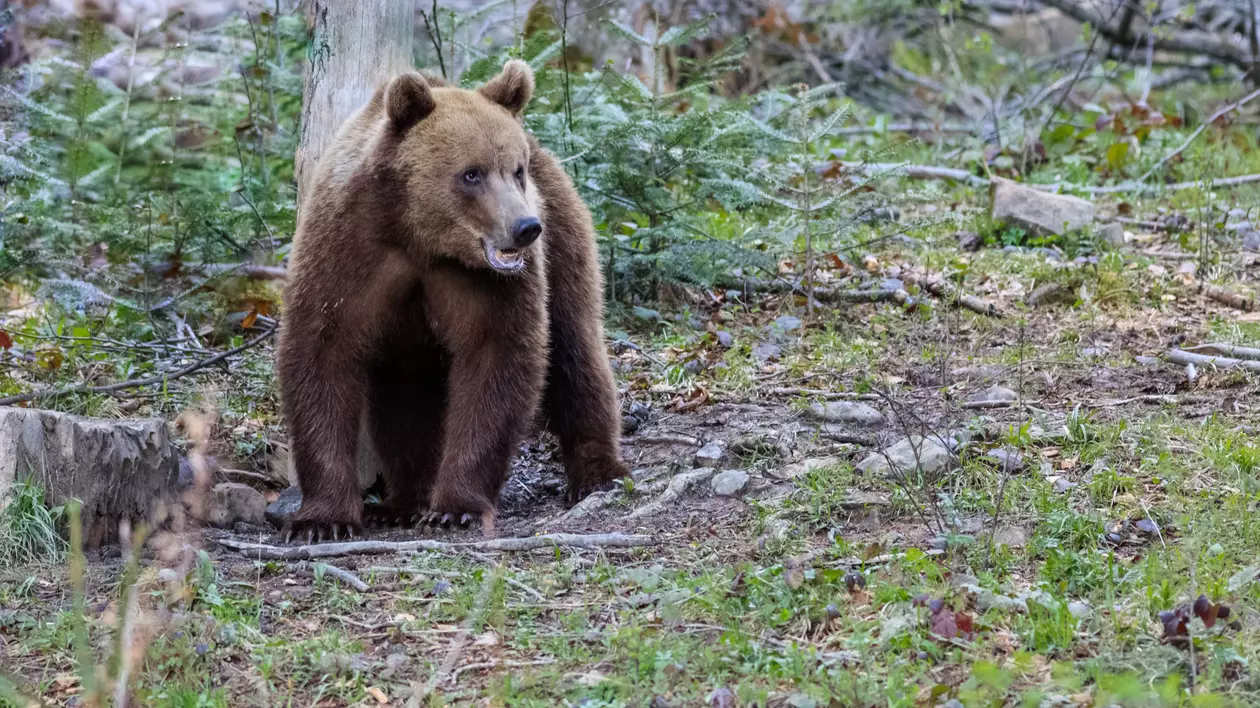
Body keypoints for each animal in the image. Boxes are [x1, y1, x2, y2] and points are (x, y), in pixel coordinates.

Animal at [277, 59, 630, 539]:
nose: (525, 227)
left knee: (575, 349)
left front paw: (457, 506)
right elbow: (322, 355)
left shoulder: (486, 286)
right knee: (404, 398)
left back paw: (597, 472)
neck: (419, 238)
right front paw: (321, 518)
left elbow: (495, 359)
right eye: (471, 173)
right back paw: (403, 501)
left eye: (516, 170)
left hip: (564, 237)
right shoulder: (347, 254)